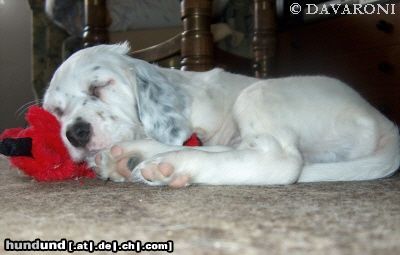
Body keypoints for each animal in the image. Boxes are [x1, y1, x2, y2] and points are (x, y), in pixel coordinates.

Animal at [42, 43, 398, 187]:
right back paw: (132, 157)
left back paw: (174, 165)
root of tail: (385, 123)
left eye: (99, 86)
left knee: (278, 160)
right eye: (57, 111)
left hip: (259, 93)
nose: (75, 133)